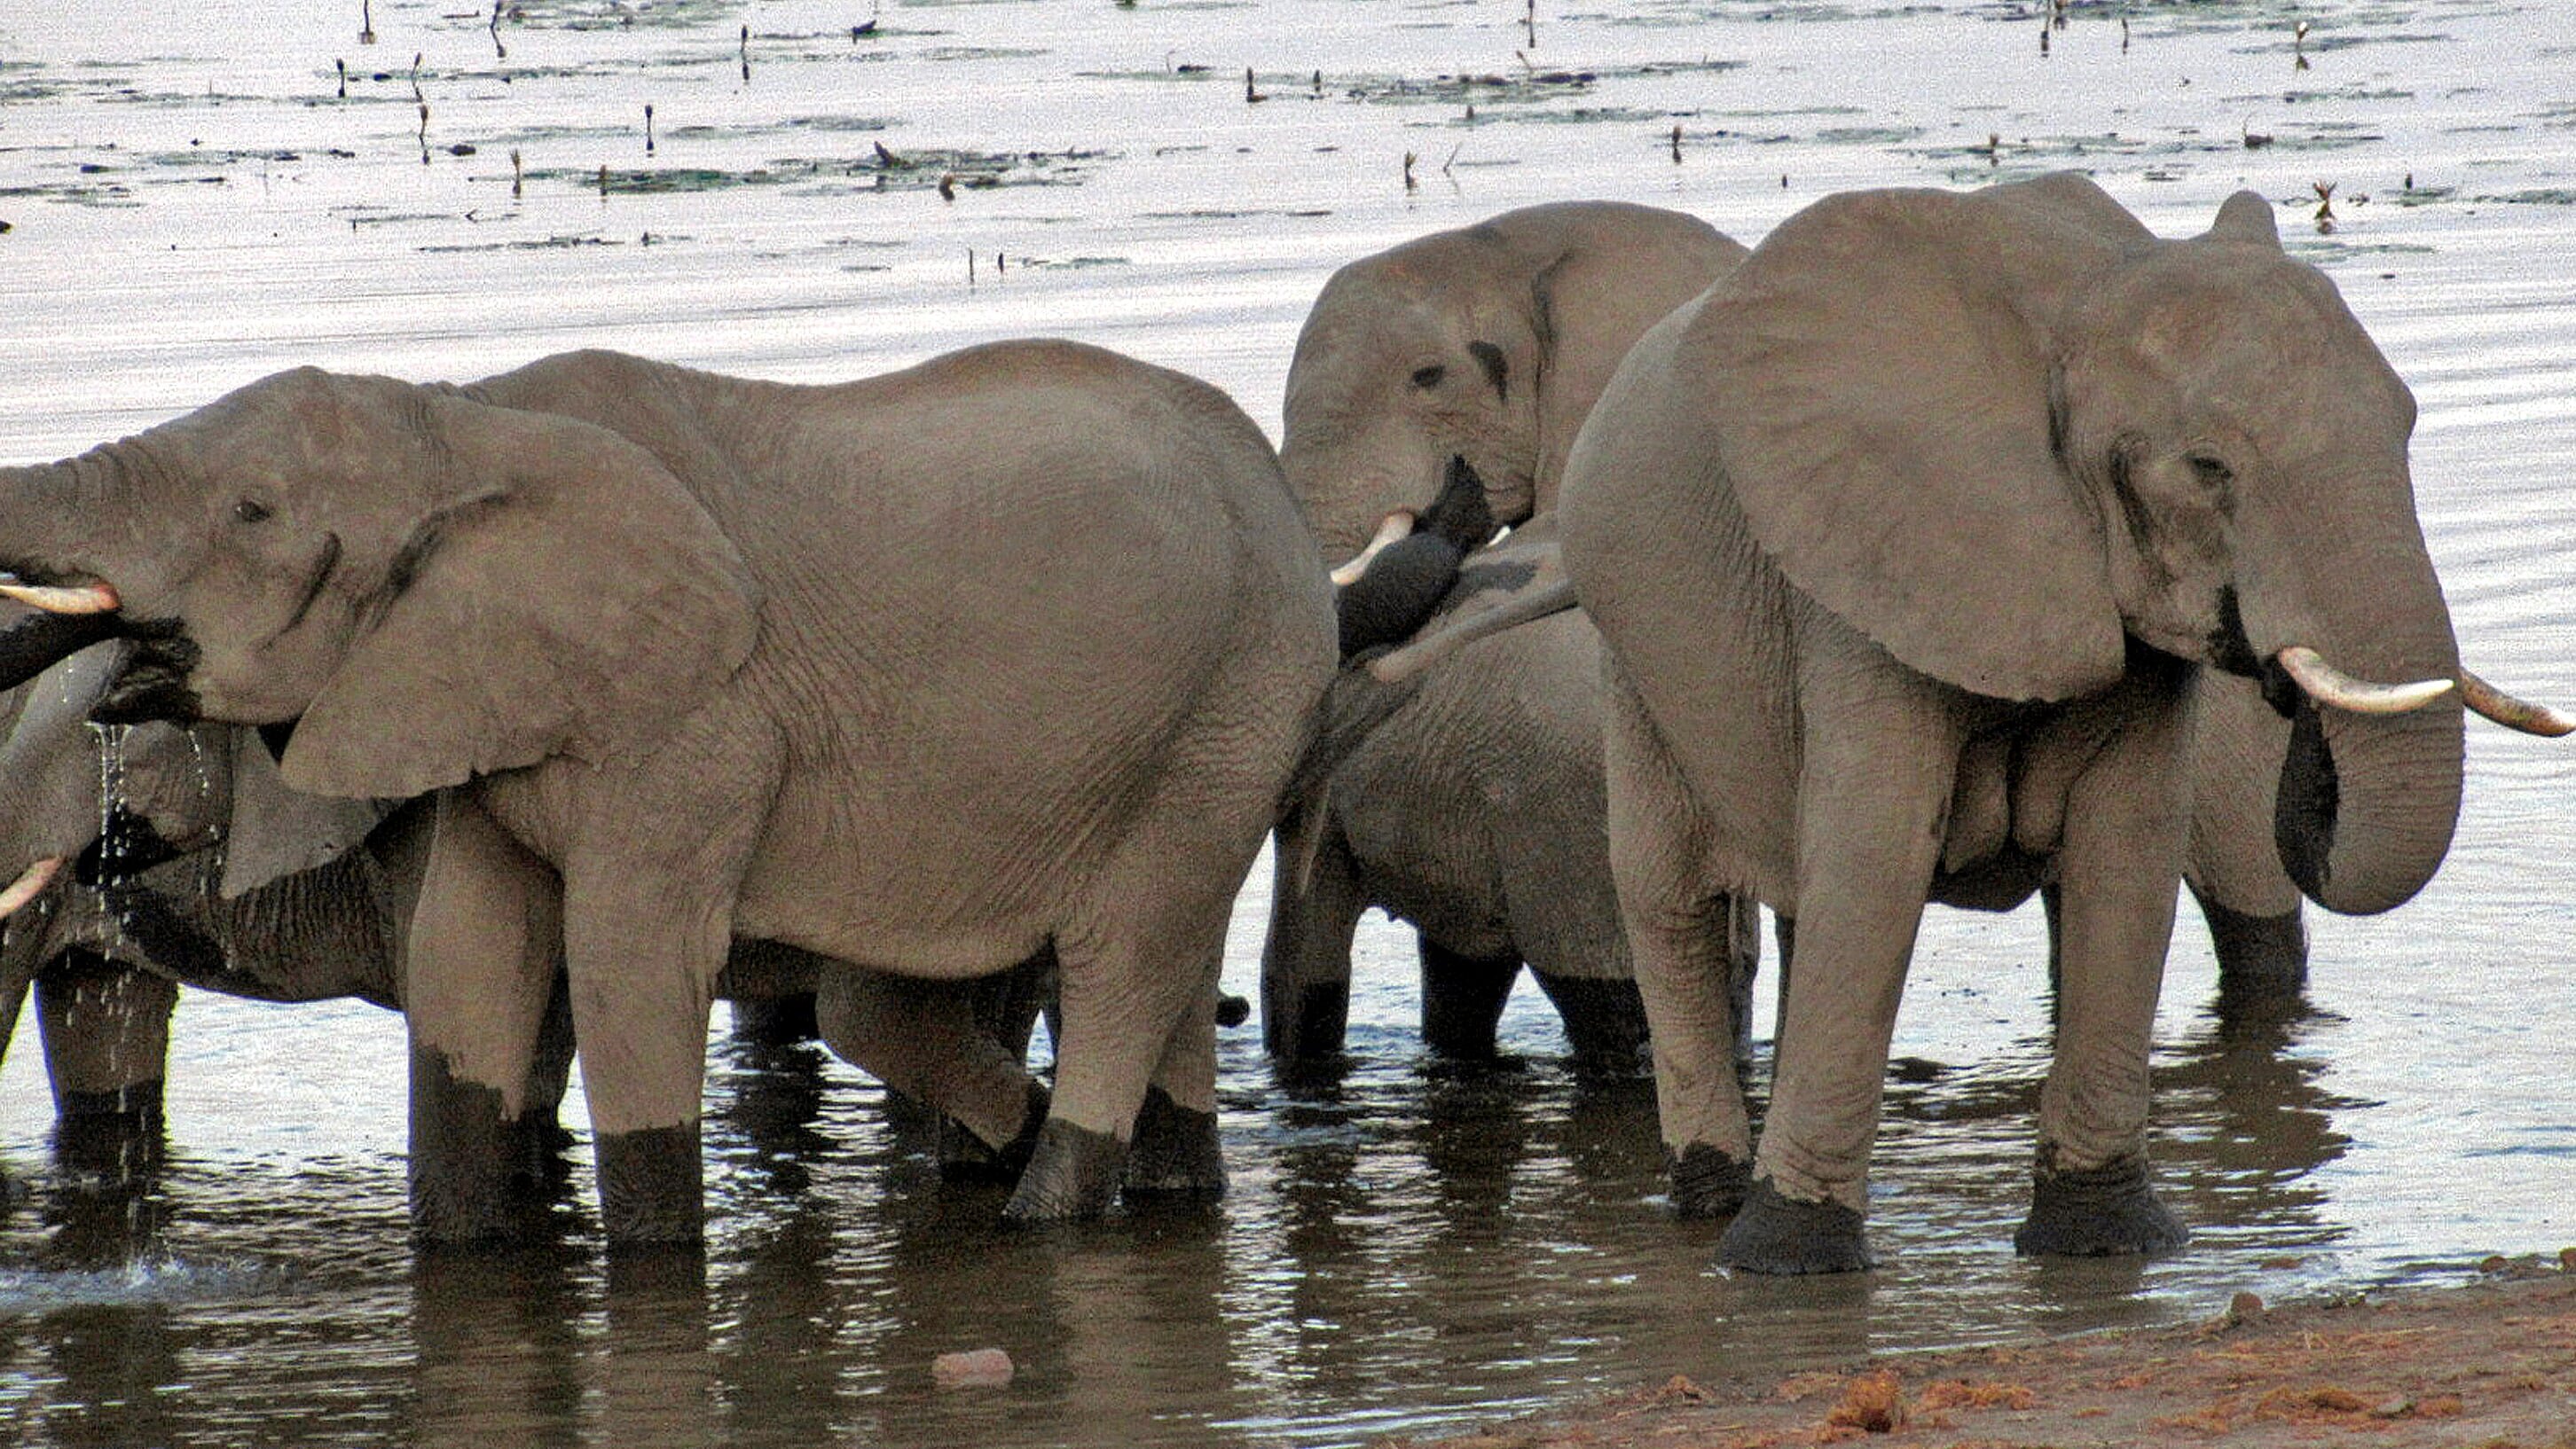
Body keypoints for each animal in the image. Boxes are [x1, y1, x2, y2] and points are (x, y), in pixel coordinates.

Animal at [0, 334, 1329, 1240]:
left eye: (253, 510)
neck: (465, 420)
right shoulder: (483, 698)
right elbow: (474, 964)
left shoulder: (692, 724)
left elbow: (628, 959)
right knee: (1124, 976)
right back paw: (1135, 1176)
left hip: (1235, 698)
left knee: (1124, 958)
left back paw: (1043, 1207)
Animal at [1535, 176, 2565, 1276]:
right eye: (2208, 468)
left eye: (2408, 425)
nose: (2283, 683)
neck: (2083, 303)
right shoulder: (1871, 569)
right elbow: (1876, 862)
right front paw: (1789, 1260)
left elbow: (2125, 856)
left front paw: (2106, 1240)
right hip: (1635, 666)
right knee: (1671, 905)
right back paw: (1710, 1205)